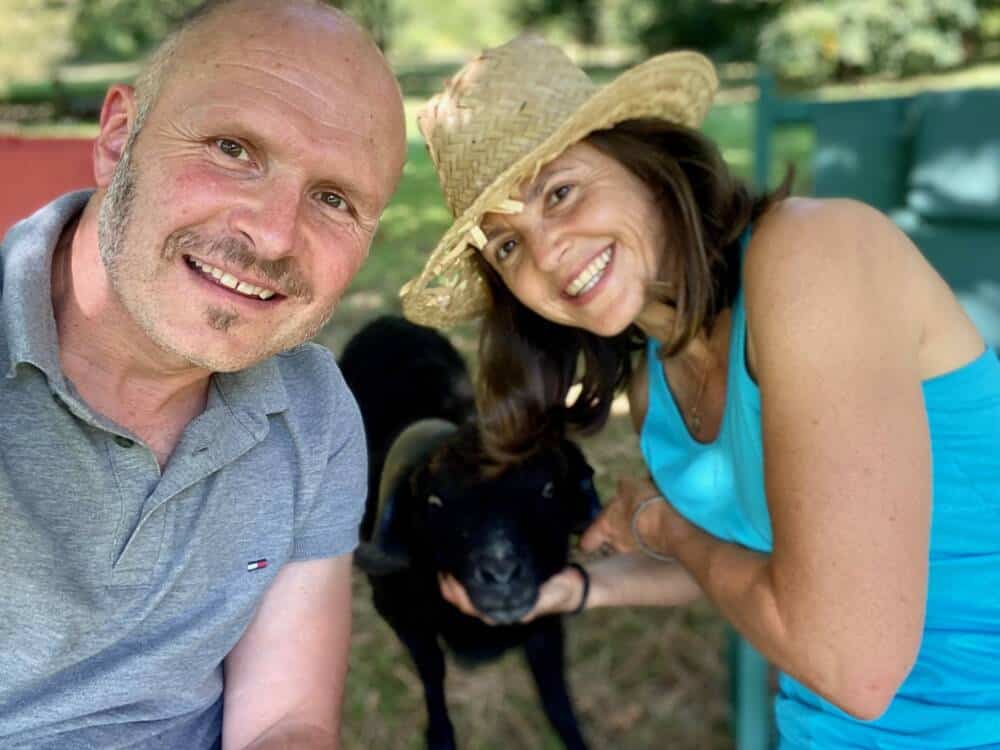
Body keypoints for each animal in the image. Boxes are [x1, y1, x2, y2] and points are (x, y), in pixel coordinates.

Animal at [340, 316, 596, 750]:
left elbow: (556, 699)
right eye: (434, 501)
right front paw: (440, 735)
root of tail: (386, 320)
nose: (502, 576)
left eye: (548, 489)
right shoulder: (400, 616)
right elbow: (432, 670)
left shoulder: (547, 619)